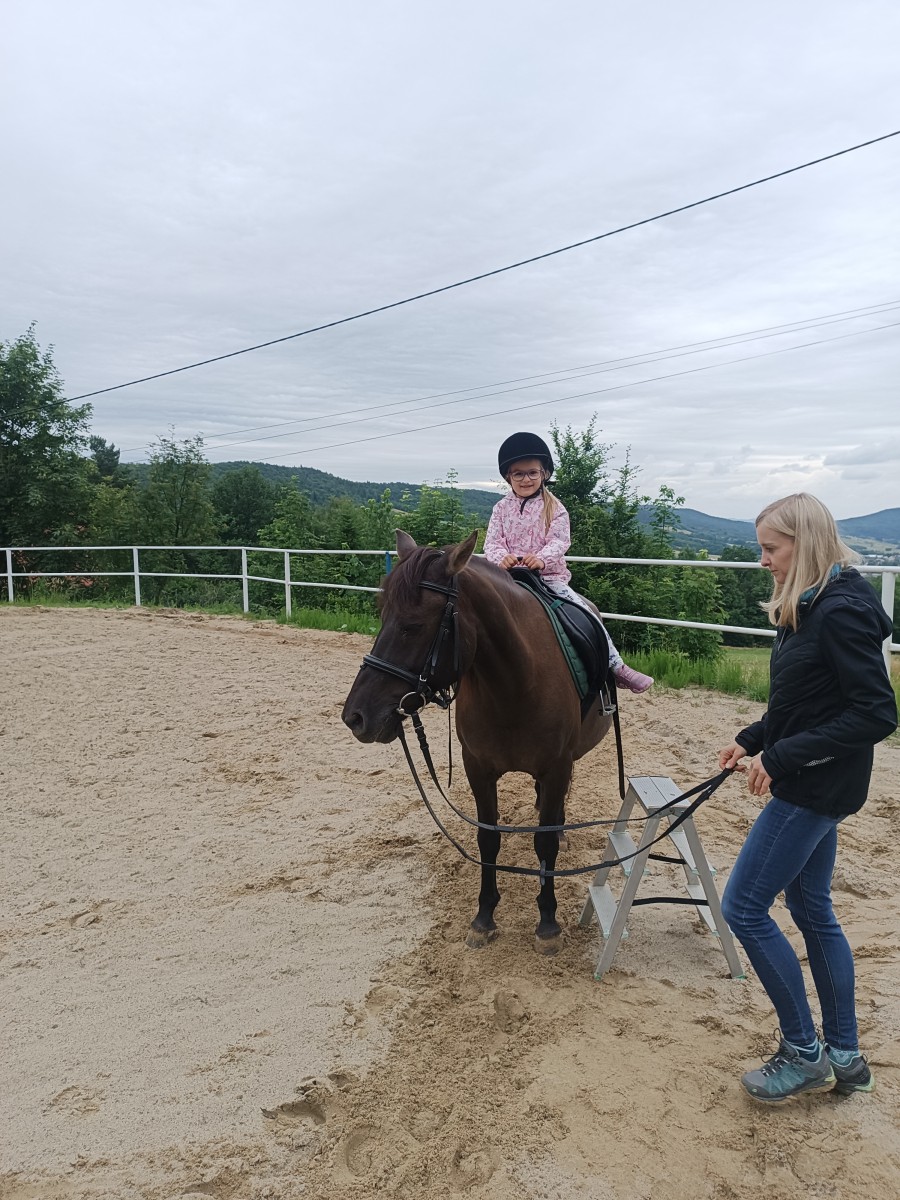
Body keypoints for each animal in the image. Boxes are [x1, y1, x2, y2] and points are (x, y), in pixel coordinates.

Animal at [341, 529, 612, 954]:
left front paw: (548, 924)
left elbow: (545, 846)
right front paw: (484, 918)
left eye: (413, 626)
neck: (515, 685)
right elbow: (488, 840)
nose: (356, 717)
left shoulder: (556, 767)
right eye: (383, 615)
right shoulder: (478, 769)